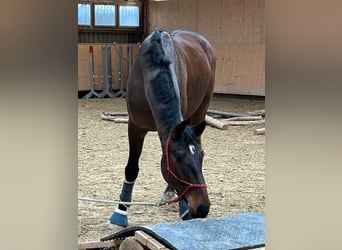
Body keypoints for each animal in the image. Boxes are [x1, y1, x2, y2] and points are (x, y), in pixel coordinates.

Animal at [109, 27, 215, 227]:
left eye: (202, 156)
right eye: (178, 159)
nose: (202, 208)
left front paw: (184, 210)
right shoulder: (135, 127)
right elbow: (131, 168)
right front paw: (120, 211)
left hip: (200, 110)